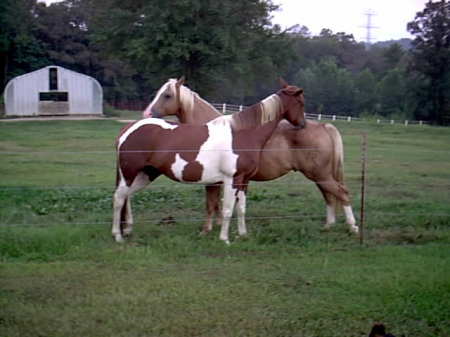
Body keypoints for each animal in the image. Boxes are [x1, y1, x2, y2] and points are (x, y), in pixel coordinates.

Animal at [112, 80, 306, 243]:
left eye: (167, 95)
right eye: (300, 102)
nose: (303, 124)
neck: (242, 134)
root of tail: (128, 129)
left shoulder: (244, 180)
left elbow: (241, 208)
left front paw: (243, 234)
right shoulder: (230, 180)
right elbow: (226, 208)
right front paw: (224, 239)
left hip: (146, 174)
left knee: (126, 196)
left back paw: (126, 230)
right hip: (129, 173)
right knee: (119, 197)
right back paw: (118, 236)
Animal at [144, 78, 358, 234]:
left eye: (167, 95)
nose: (147, 114)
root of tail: (324, 125)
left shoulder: (214, 181)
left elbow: (211, 204)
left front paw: (208, 230)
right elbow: (219, 204)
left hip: (320, 175)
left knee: (341, 193)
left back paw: (353, 227)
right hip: (319, 176)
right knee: (329, 196)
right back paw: (329, 225)